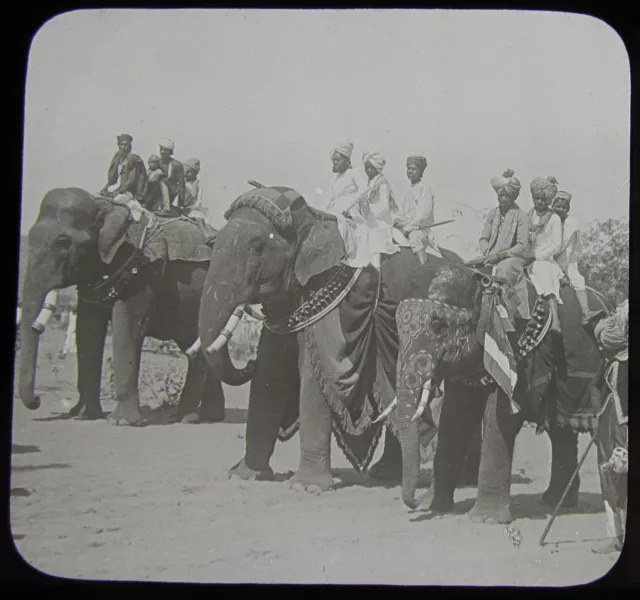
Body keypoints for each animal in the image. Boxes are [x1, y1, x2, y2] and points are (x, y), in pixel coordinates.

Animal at [18, 188, 252, 426]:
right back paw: (208, 416)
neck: (106, 205)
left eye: (64, 243)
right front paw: (83, 415)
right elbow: (88, 329)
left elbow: (127, 326)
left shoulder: (142, 269)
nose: (37, 401)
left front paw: (121, 422)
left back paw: (185, 417)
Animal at [195, 184, 484, 492]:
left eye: (257, 248)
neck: (312, 219)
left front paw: (306, 487)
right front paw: (245, 475)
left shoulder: (331, 309)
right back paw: (387, 475)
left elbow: (314, 377)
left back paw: (464, 481)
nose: (245, 363)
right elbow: (269, 376)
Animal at [392, 262, 612, 520]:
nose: (414, 503)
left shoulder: (516, 350)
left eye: (438, 327)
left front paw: (485, 519)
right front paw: (433, 505)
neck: (482, 281)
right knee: (561, 430)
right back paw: (554, 502)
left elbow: (502, 416)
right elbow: (454, 418)